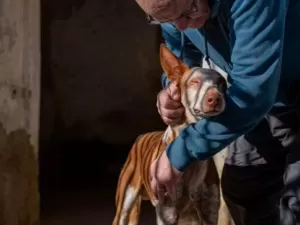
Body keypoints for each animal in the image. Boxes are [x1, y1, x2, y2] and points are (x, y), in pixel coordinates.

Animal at [111, 44, 233, 225]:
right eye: (195, 82)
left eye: (222, 84)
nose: (215, 99)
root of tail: (142, 136)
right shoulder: (167, 214)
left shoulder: (209, 212)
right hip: (125, 201)